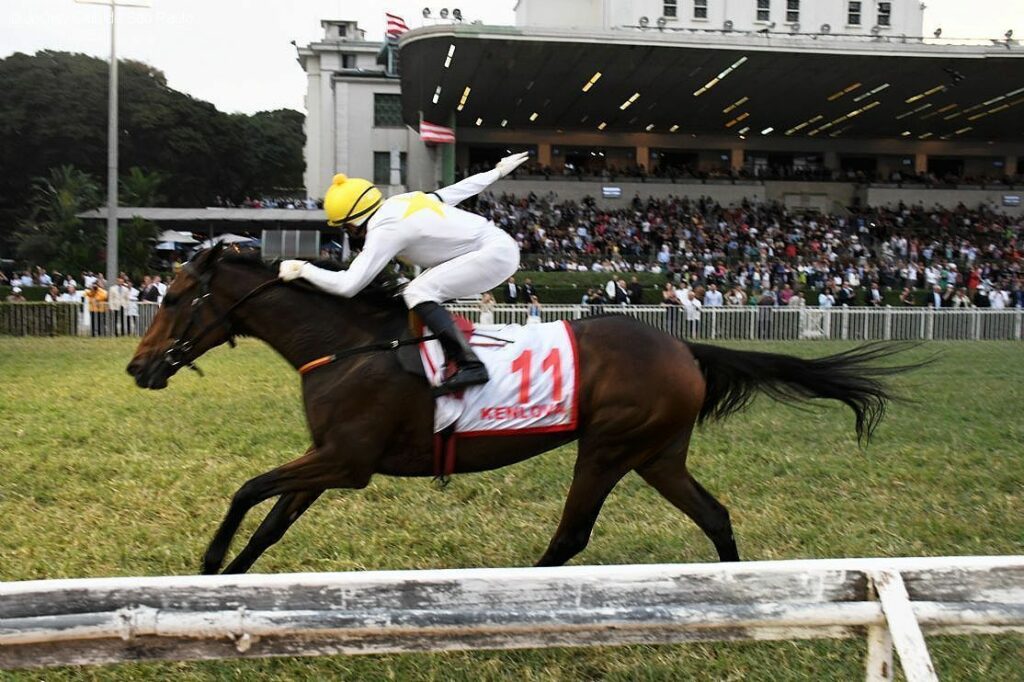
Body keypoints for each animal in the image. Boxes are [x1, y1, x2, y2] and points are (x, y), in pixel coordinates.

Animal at [130, 245, 913, 573]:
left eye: (175, 297)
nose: (138, 367)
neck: (348, 344)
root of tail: (684, 345)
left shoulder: (345, 461)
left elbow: (246, 490)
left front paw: (209, 563)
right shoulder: (331, 458)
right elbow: (269, 524)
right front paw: (231, 581)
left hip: (607, 447)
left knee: (571, 536)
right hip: (657, 454)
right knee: (715, 515)